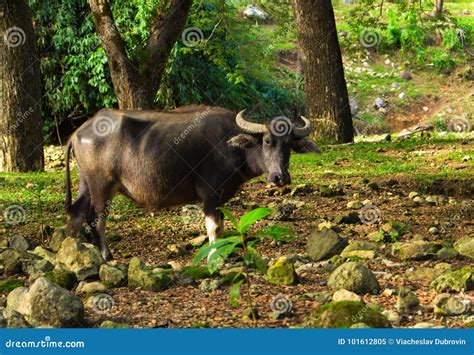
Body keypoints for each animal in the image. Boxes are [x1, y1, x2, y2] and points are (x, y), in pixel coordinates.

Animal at [65, 105, 318, 258]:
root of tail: (78, 132)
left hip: (85, 183)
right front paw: (214, 255)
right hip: (101, 185)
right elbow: (214, 227)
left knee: (76, 213)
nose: (280, 177)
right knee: (95, 219)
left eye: (289, 144)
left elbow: (221, 227)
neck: (231, 145)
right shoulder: (210, 194)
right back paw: (106, 256)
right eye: (267, 141)